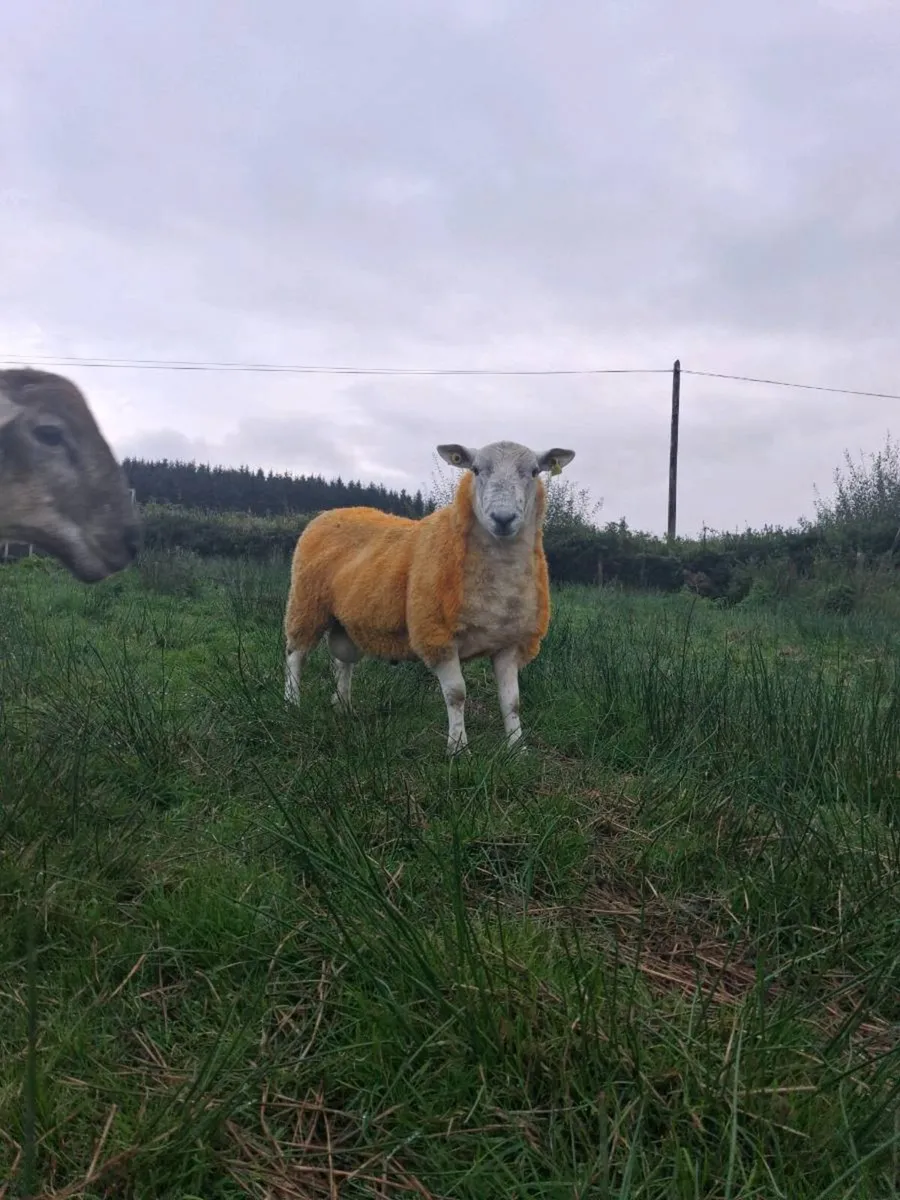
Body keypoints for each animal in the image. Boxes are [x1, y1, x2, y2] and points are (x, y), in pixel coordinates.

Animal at [283, 439, 575, 754]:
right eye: (475, 469)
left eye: (534, 471)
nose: (503, 518)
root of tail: (332, 513)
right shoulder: (437, 635)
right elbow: (457, 694)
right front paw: (458, 749)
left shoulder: (509, 642)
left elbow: (512, 702)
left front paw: (517, 750)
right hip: (306, 605)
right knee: (295, 656)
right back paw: (292, 704)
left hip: (346, 620)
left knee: (343, 662)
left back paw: (343, 707)